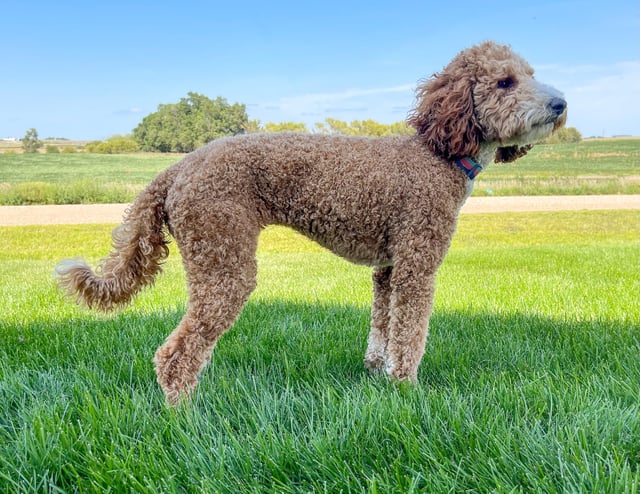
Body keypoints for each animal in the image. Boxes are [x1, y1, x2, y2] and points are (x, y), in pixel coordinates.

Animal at [55, 41, 564, 406]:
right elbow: (409, 334)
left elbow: (382, 327)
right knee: (175, 353)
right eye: (504, 81)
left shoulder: (388, 269)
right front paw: (406, 388)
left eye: (531, 74)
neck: (438, 154)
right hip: (223, 259)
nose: (560, 104)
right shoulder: (417, 262)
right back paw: (183, 413)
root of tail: (177, 168)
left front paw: (376, 375)